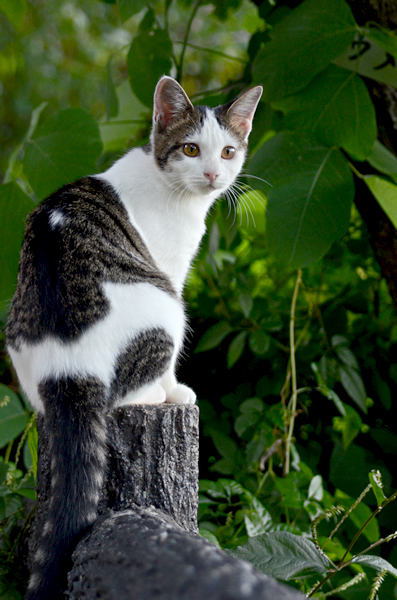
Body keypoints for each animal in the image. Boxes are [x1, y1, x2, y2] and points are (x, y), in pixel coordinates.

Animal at [6, 76, 262, 600]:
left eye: (228, 151)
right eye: (191, 149)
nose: (213, 174)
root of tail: (69, 368)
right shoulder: (171, 269)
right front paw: (177, 388)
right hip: (166, 306)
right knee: (130, 388)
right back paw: (161, 394)